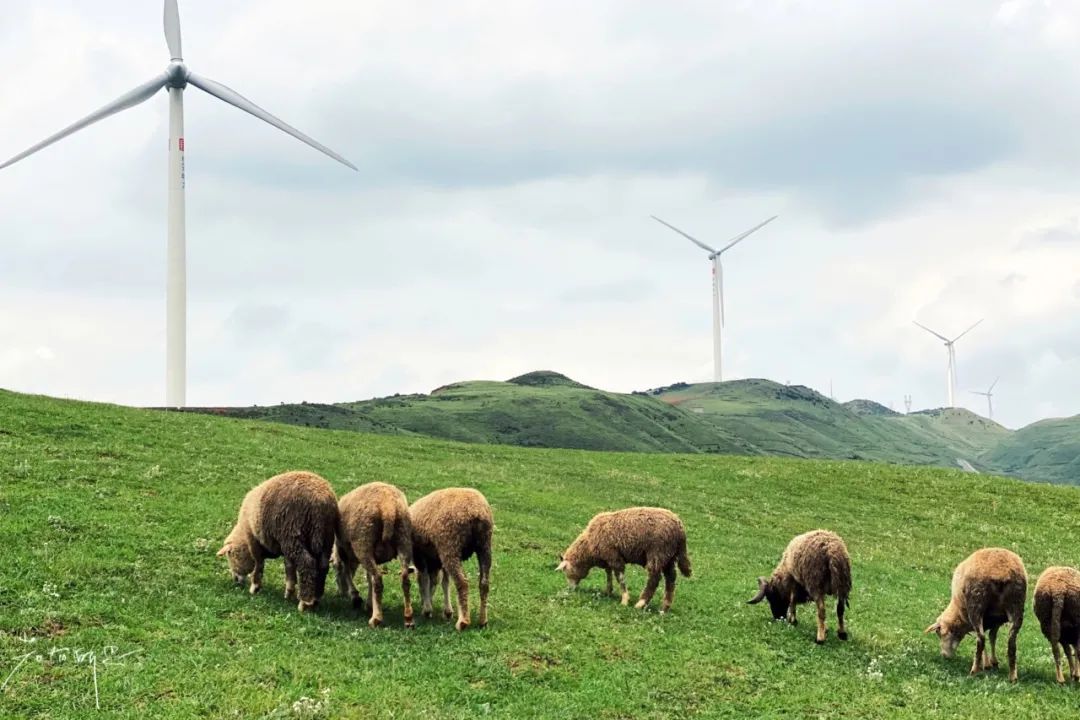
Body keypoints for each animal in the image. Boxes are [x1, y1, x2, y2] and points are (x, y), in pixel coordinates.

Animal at [214, 472, 336, 613]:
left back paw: (305, 602)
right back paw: (316, 599)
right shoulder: (285, 548)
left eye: (231, 556)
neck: (245, 530)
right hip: (324, 539)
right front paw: (289, 592)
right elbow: (289, 568)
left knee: (307, 563)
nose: (235, 580)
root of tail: (320, 501)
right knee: (323, 566)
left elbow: (259, 564)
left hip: (293, 534)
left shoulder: (255, 542)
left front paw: (255, 587)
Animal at [330, 481, 414, 626]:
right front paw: (369, 604)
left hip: (363, 542)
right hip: (404, 539)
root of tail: (388, 507)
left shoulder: (343, 547)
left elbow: (347, 571)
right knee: (404, 579)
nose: (341, 593)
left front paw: (355, 597)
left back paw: (376, 619)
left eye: (334, 568)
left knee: (378, 580)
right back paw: (408, 618)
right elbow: (369, 579)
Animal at [408, 490, 494, 630]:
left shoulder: (420, 556)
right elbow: (443, 582)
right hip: (484, 545)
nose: (422, 603)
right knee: (484, 583)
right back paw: (483, 621)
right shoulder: (439, 559)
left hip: (450, 545)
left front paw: (427, 609)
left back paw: (463, 622)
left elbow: (425, 579)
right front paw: (445, 610)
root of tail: (476, 512)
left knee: (462, 582)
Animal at [557, 507, 691, 613]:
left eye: (566, 571)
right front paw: (608, 591)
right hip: (669, 557)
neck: (588, 545)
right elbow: (609, 574)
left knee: (654, 579)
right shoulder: (608, 557)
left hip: (658, 553)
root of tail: (680, 529)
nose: (571, 589)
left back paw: (641, 603)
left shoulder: (614, 556)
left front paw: (625, 600)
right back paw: (664, 608)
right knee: (671, 579)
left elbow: (619, 578)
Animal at [924, 548, 1023, 686]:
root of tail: (1001, 573)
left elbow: (983, 637)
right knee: (1011, 642)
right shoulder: (996, 620)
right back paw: (1013, 676)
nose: (944, 656)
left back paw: (974, 670)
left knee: (980, 639)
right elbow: (992, 637)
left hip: (976, 603)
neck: (959, 614)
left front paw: (985, 663)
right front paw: (992, 662)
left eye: (939, 634)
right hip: (1016, 605)